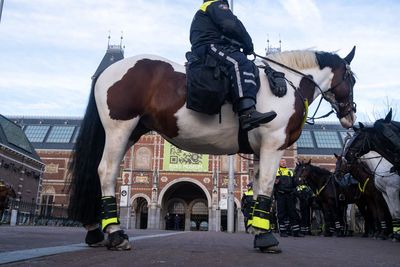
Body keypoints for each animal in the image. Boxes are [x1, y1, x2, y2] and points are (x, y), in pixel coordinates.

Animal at [68, 47, 356, 252]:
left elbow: (256, 190)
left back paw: (95, 231)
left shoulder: (259, 149)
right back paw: (116, 234)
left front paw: (257, 232)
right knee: (106, 171)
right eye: (352, 79)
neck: (286, 85)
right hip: (120, 127)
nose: (350, 116)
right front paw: (267, 238)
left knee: (96, 170)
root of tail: (107, 70)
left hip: (130, 131)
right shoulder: (274, 143)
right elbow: (266, 188)